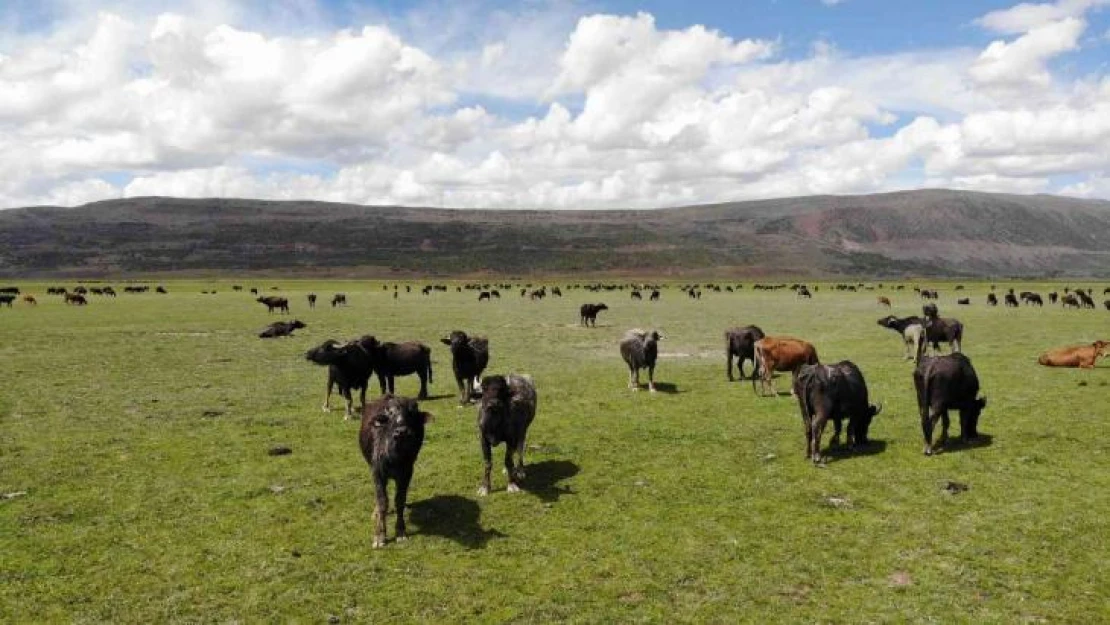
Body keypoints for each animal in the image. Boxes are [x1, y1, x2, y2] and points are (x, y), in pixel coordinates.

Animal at [359, 395, 428, 548]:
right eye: (390, 414)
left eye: (411, 413)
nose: (401, 432)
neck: (394, 457)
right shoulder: (377, 474)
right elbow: (382, 502)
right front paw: (380, 536)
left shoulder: (406, 474)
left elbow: (399, 501)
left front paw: (400, 532)